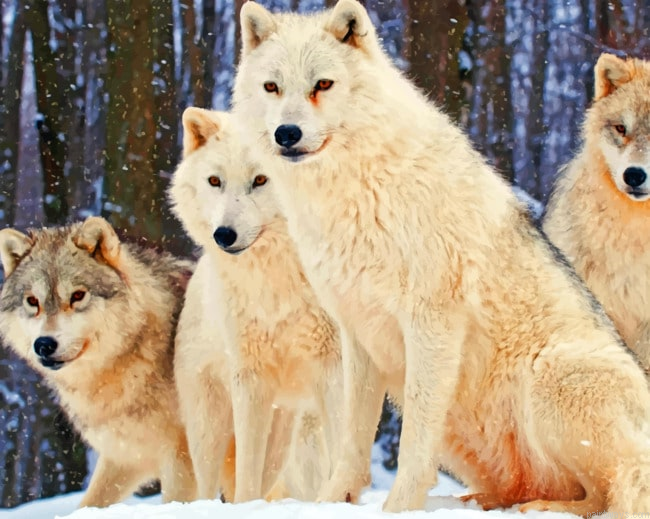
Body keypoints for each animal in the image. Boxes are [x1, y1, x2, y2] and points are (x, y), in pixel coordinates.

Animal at [0, 217, 197, 508]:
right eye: (33, 301)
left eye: (77, 295)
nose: (44, 344)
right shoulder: (125, 456)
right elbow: (88, 504)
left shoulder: (184, 456)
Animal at [169, 107, 341, 503]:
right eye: (214, 181)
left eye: (261, 179)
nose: (223, 235)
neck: (279, 280)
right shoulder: (250, 379)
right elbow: (247, 473)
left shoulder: (335, 367)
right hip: (211, 428)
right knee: (210, 487)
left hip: (288, 436)